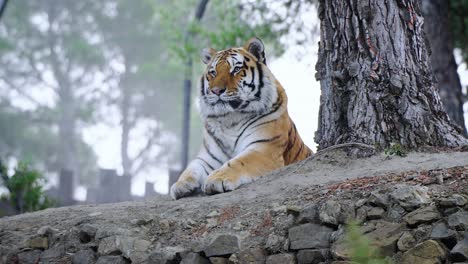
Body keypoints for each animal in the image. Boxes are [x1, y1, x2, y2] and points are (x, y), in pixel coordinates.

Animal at [170, 36, 312, 199]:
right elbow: (191, 168)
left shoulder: (263, 148)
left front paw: (216, 179)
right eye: (213, 72)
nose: (216, 90)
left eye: (236, 69)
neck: (230, 118)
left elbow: (237, 162)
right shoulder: (208, 157)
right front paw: (180, 185)